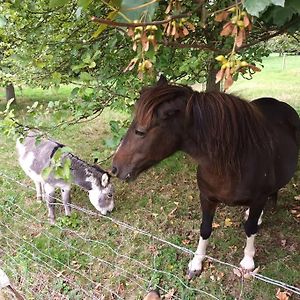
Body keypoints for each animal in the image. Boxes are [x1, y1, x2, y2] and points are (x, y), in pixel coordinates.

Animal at [112, 76, 300, 278]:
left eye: (140, 131)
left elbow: (249, 229)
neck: (232, 161)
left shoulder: (258, 198)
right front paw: (196, 262)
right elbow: (205, 228)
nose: (115, 168)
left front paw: (248, 261)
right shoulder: (207, 197)